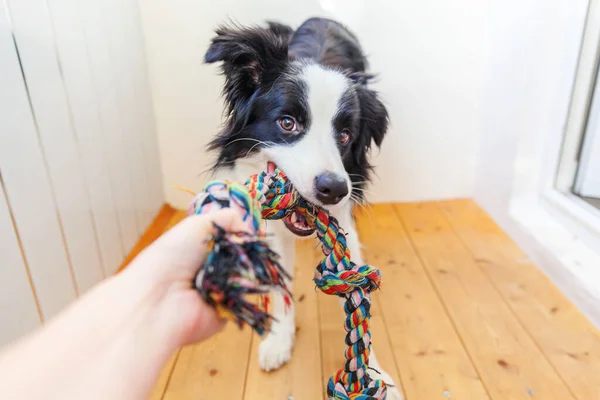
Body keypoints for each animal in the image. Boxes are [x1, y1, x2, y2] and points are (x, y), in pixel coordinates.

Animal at [203, 17, 404, 398]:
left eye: (345, 135)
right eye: (287, 123)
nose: (333, 190)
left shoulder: (344, 217)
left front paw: (374, 373)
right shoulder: (274, 228)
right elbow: (279, 282)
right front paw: (279, 342)